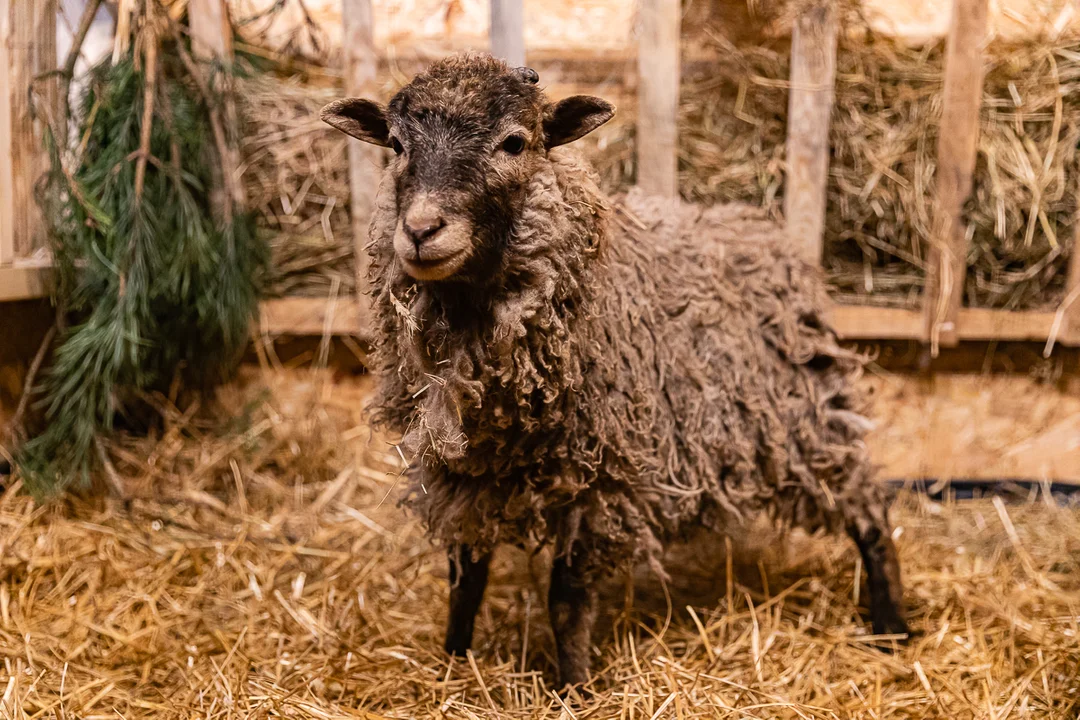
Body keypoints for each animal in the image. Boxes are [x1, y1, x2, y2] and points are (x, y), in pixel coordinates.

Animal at [321, 52, 911, 690]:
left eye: (514, 142)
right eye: (397, 145)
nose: (421, 231)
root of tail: (761, 228)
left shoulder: (598, 481)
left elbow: (567, 600)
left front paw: (573, 688)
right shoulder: (461, 475)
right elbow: (465, 580)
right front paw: (454, 663)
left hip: (806, 416)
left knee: (869, 507)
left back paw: (892, 625)